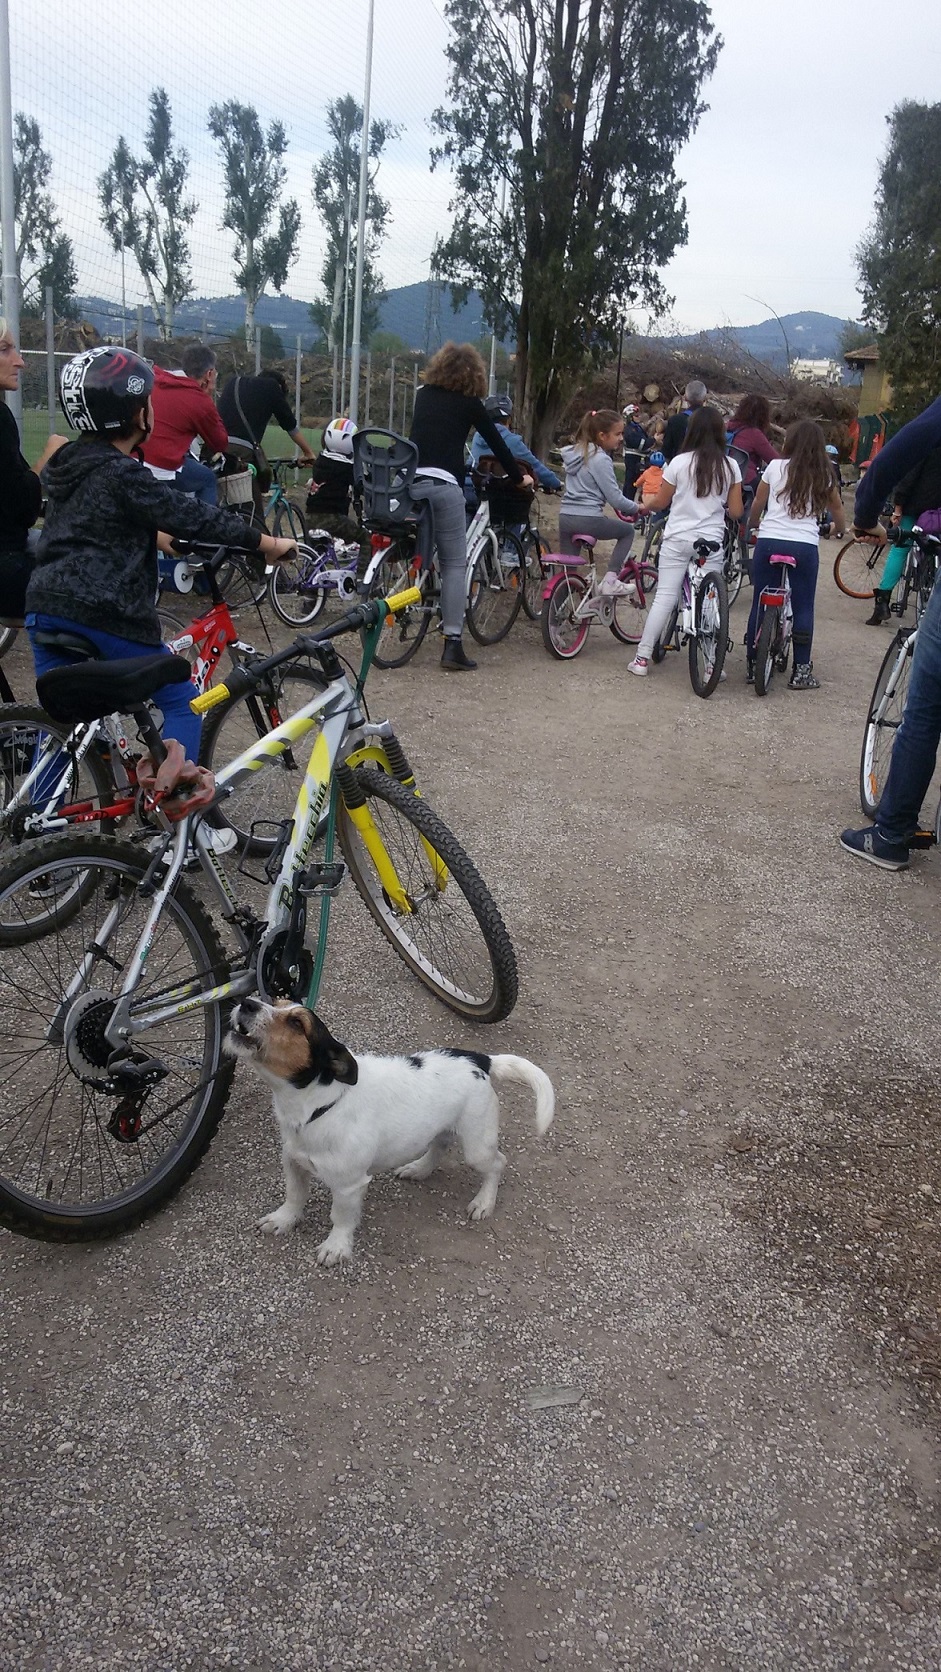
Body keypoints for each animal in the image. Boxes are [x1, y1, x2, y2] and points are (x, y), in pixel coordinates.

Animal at [225, 996, 554, 1257]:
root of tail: (478, 1059)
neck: (317, 1105)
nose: (247, 1002)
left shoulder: (350, 1186)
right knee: (440, 1145)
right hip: (439, 1127)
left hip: (477, 1146)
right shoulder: (293, 1162)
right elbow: (294, 1196)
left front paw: (337, 1247)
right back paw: (418, 1169)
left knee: (497, 1163)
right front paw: (283, 1219)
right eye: (275, 1001)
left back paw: (484, 1201)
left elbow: (341, 1217)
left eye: (296, 1023)